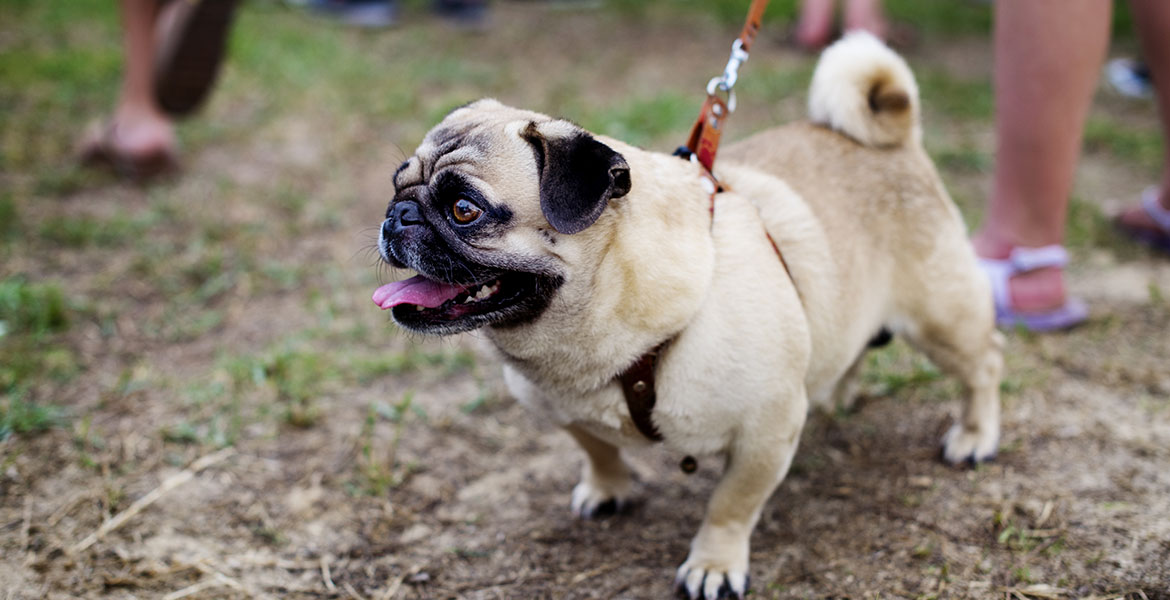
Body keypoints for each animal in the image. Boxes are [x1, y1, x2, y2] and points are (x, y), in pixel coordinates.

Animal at [374, 32, 1006, 598]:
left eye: (464, 209)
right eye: (397, 183)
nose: (398, 215)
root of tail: (897, 140)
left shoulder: (765, 433)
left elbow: (730, 506)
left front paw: (714, 565)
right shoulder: (560, 409)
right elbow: (596, 448)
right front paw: (607, 488)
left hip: (941, 318)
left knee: (984, 364)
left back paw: (975, 436)